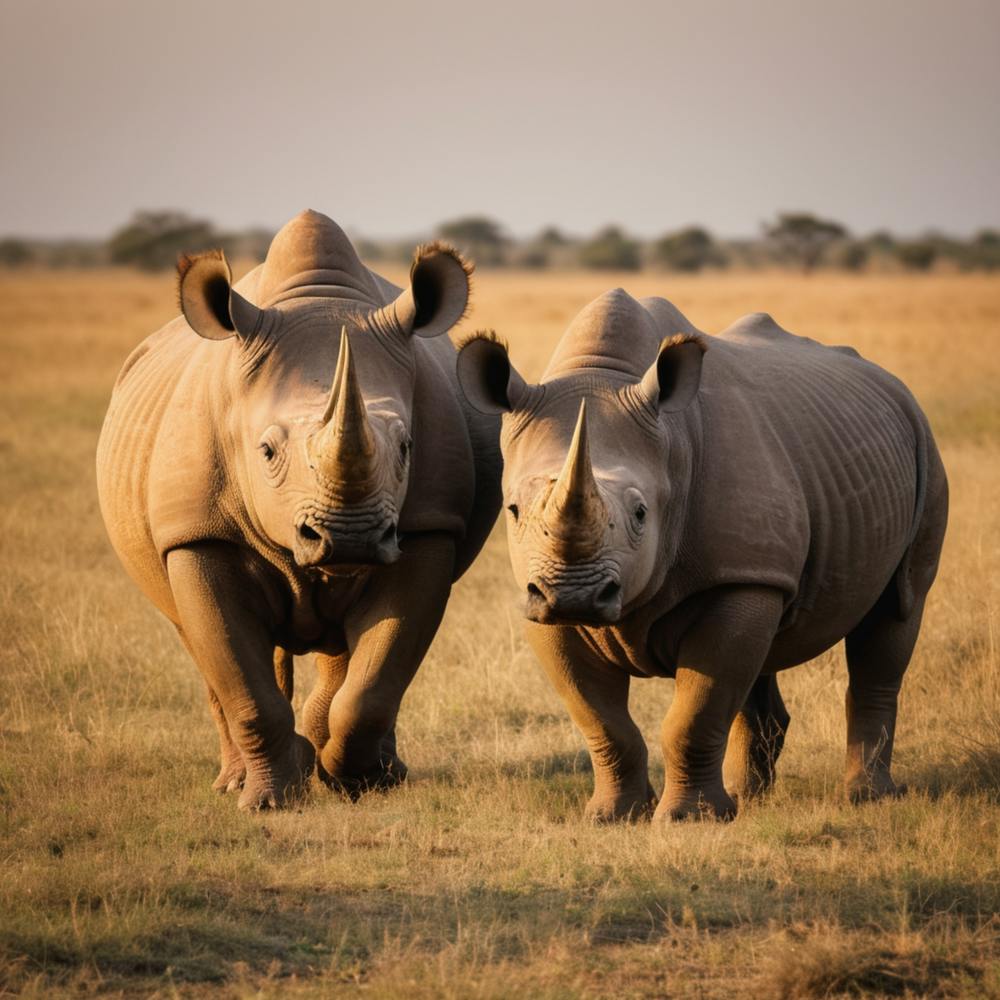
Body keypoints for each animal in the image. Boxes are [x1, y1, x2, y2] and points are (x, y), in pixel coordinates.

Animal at [97, 210, 500, 810]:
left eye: (407, 447)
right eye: (265, 452)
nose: (349, 536)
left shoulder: (429, 527)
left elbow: (374, 683)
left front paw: (350, 781)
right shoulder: (197, 534)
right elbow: (242, 682)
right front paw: (267, 800)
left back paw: (367, 769)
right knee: (195, 639)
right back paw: (235, 780)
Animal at [456, 290, 947, 822]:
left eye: (641, 513)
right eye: (514, 510)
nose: (575, 595)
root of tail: (893, 385)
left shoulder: (737, 576)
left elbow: (694, 713)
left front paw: (688, 820)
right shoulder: (537, 595)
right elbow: (600, 719)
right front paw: (612, 816)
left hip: (923, 448)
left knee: (897, 609)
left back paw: (865, 798)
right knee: (762, 655)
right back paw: (747, 797)